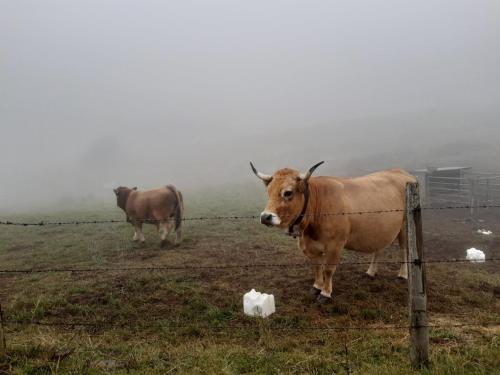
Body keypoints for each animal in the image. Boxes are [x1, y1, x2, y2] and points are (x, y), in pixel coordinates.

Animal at [250, 163, 418, 304]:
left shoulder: (335, 245)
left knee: (403, 250)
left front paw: (325, 293)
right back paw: (371, 272)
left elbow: (328, 269)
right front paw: (316, 287)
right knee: (379, 248)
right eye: (268, 191)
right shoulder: (311, 246)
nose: (265, 217)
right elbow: (317, 267)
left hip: (404, 226)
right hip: (380, 228)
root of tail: (403, 173)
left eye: (288, 192)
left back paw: (403, 275)